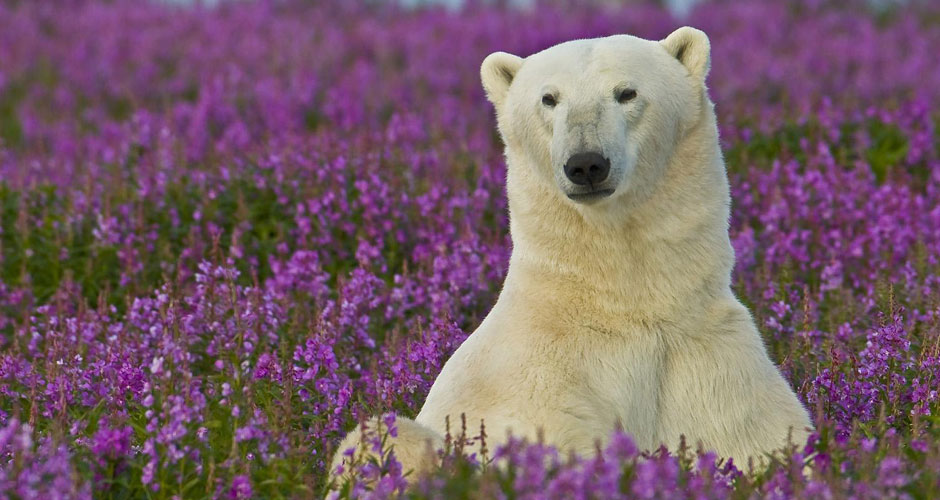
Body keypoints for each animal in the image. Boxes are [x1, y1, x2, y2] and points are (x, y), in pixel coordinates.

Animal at [331, 26, 813, 484]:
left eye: (626, 92)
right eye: (549, 98)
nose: (585, 164)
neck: (618, 304)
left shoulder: (711, 366)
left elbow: (764, 445)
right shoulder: (533, 387)